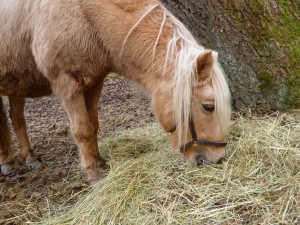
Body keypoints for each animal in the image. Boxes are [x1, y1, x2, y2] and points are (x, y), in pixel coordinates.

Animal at [0, 0, 232, 185]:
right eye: (208, 107)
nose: (218, 158)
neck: (85, 15)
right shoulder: (67, 83)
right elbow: (82, 130)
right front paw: (93, 174)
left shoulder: (94, 82)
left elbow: (93, 125)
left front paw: (99, 161)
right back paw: (5, 161)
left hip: (17, 85)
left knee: (17, 119)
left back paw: (29, 159)